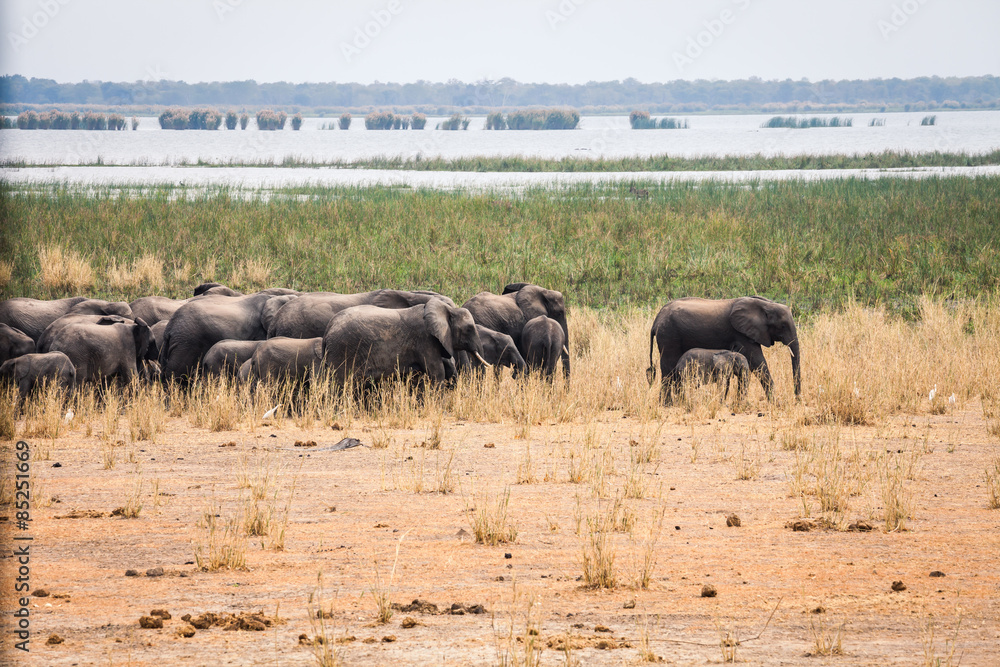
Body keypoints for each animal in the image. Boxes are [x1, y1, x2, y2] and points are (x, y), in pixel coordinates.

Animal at [323, 300, 487, 385]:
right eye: (469, 329)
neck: (447, 309)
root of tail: (328, 328)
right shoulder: (425, 340)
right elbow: (437, 372)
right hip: (343, 350)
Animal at [648, 296, 800, 403]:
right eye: (783, 326)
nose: (797, 401)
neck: (766, 305)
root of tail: (656, 320)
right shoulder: (741, 334)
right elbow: (757, 361)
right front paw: (776, 404)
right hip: (668, 335)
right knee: (668, 368)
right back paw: (669, 404)